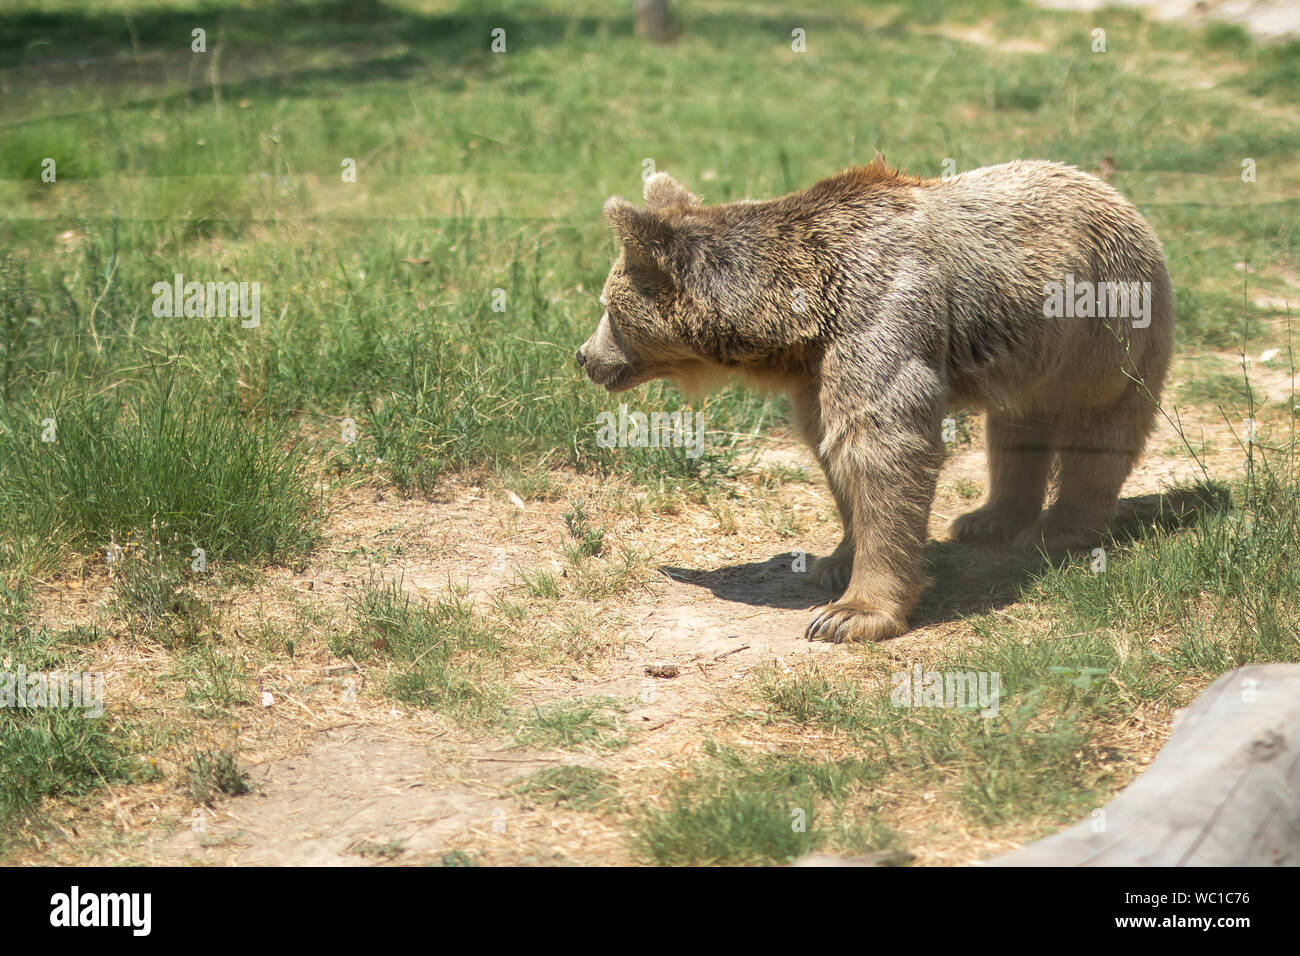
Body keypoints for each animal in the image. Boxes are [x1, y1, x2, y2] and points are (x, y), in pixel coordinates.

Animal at [579, 160, 1180, 642]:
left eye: (607, 306)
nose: (584, 356)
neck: (804, 310)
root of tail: (1119, 198)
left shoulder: (881, 316)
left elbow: (884, 446)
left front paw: (848, 615)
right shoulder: (818, 368)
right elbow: (834, 450)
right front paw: (835, 561)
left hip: (1104, 328)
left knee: (1099, 429)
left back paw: (1060, 530)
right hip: (1031, 354)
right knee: (1015, 428)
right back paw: (987, 519)